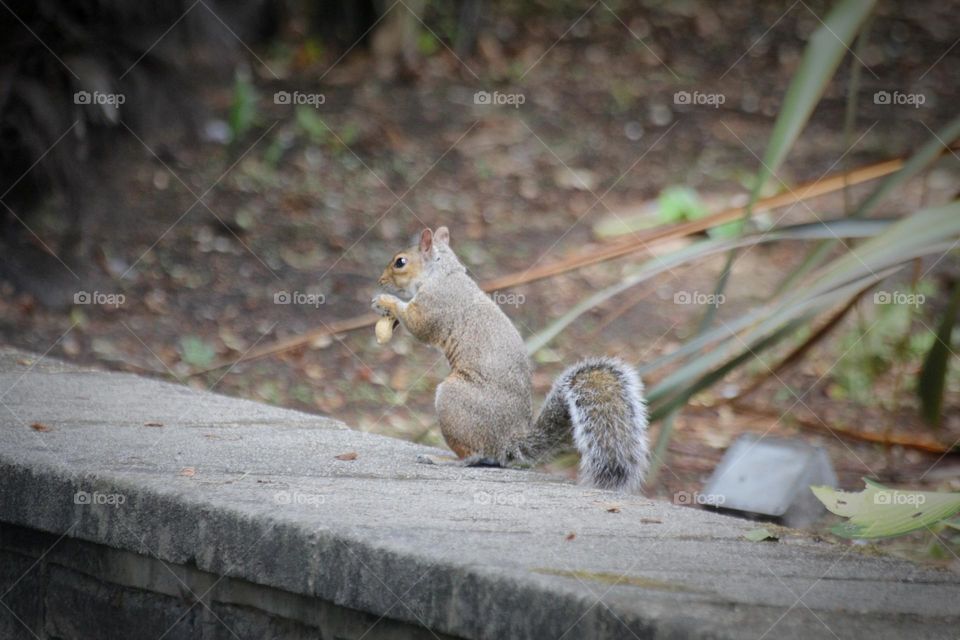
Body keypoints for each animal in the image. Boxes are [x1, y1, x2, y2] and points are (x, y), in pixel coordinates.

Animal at [372, 226, 650, 492]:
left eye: (400, 262)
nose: (380, 280)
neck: (443, 272)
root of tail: (507, 441)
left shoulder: (436, 304)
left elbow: (419, 326)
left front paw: (386, 301)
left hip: (453, 400)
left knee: (473, 456)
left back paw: (443, 460)